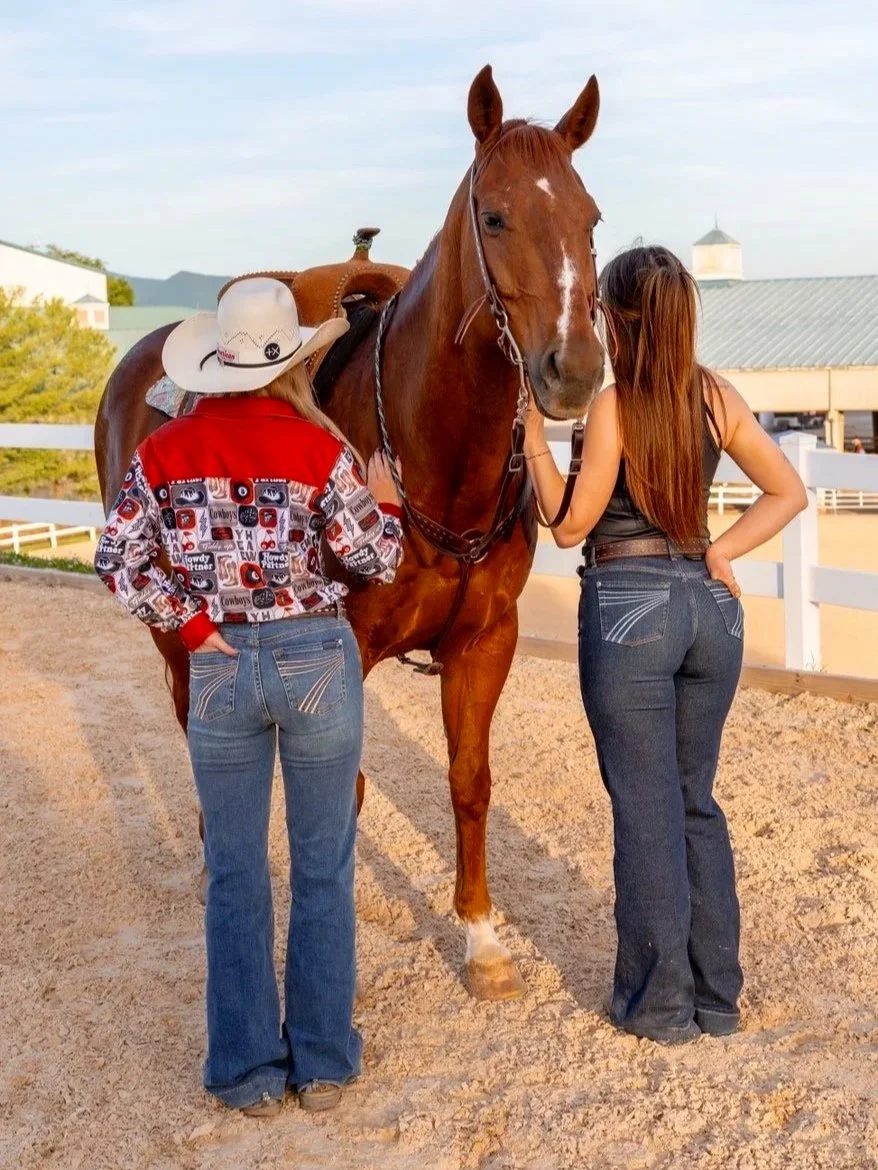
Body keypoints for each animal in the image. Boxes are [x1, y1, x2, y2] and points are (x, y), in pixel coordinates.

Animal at [94, 65, 605, 1000]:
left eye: (590, 220)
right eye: (494, 216)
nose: (573, 370)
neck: (436, 454)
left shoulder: (486, 641)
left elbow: (469, 783)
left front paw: (482, 941)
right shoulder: (344, 649)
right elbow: (347, 792)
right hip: (175, 630)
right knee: (196, 729)